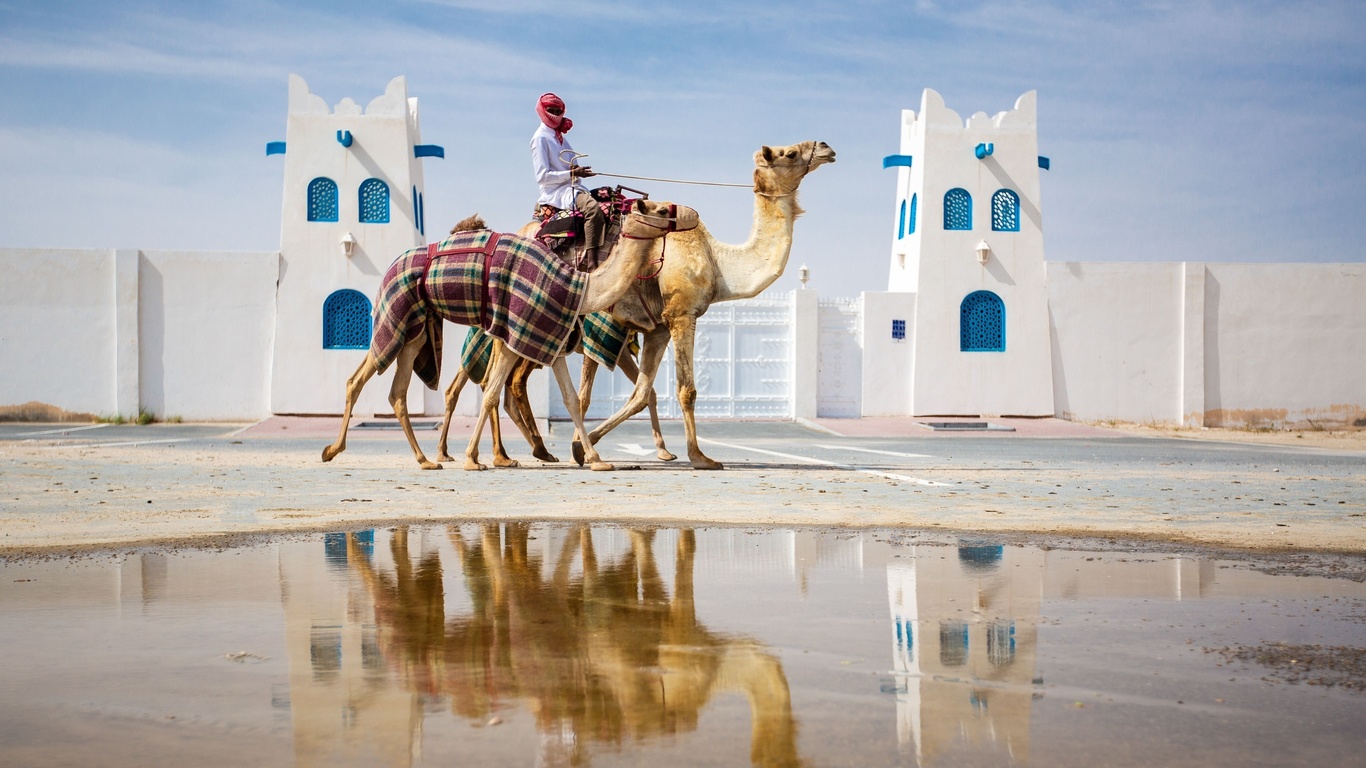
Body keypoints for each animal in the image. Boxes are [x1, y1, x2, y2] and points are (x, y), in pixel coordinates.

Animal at [319, 196, 693, 470]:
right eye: (661, 209)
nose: (690, 214)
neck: (579, 288)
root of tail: (390, 268)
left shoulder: (550, 337)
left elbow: (570, 400)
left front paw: (596, 459)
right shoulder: (518, 331)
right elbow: (491, 392)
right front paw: (473, 460)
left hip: (417, 330)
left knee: (399, 392)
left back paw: (426, 459)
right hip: (394, 316)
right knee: (359, 378)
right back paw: (332, 450)